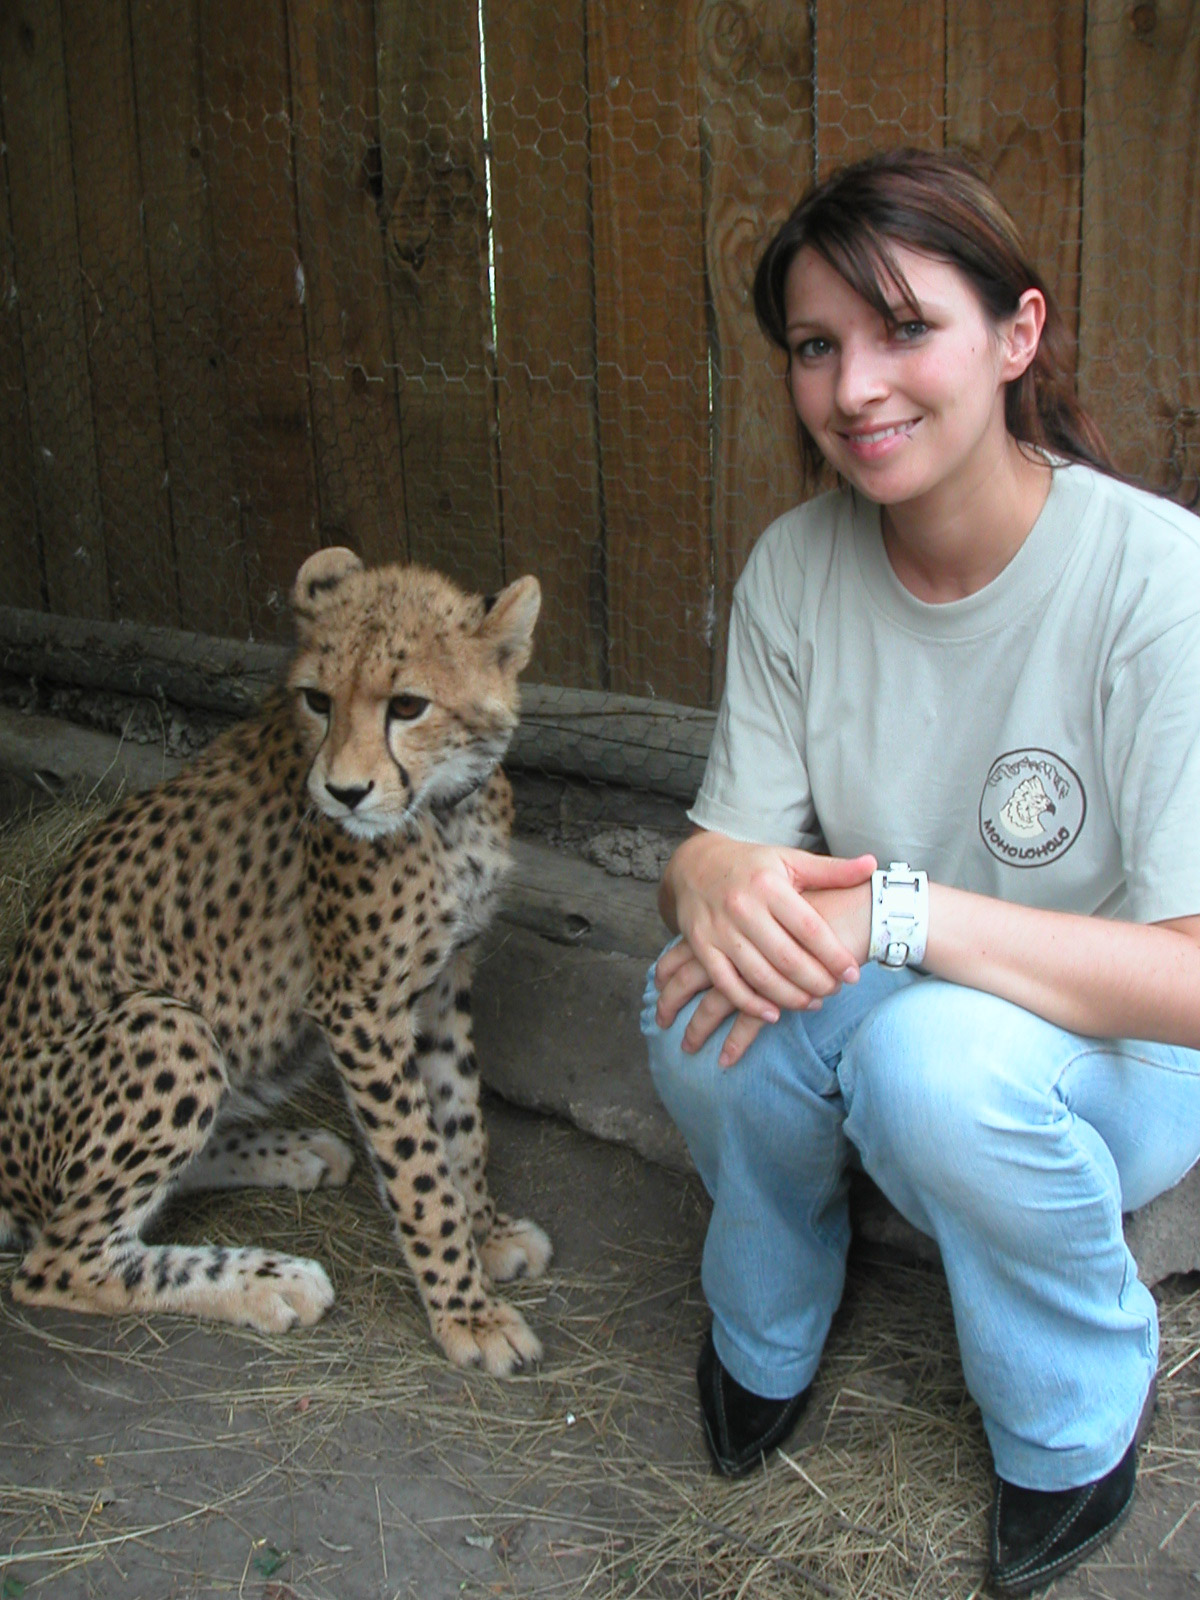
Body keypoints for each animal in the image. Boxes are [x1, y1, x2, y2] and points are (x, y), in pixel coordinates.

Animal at [0, 550, 553, 1376]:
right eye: (318, 699)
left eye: (408, 705)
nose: (344, 792)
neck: (445, 806)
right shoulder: (360, 1006)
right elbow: (419, 1167)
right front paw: (467, 1312)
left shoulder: (438, 984)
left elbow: (461, 1122)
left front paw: (485, 1234)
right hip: (167, 1025)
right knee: (61, 1258)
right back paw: (268, 1278)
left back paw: (295, 1153)